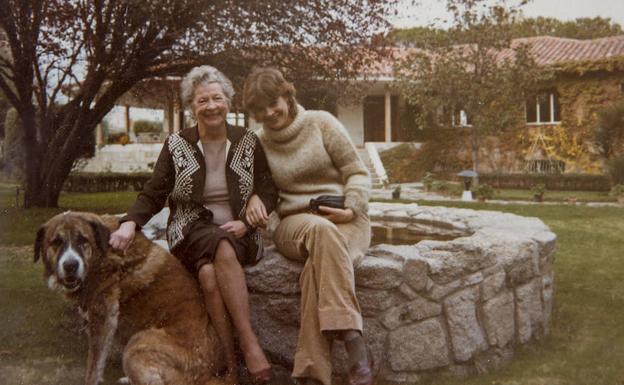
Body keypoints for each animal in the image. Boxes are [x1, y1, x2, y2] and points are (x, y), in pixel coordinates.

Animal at [33, 212, 227, 384]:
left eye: (83, 240)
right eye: (56, 242)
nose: (70, 265)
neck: (100, 252)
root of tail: (212, 372)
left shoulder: (102, 315)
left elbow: (94, 363)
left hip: (136, 345)